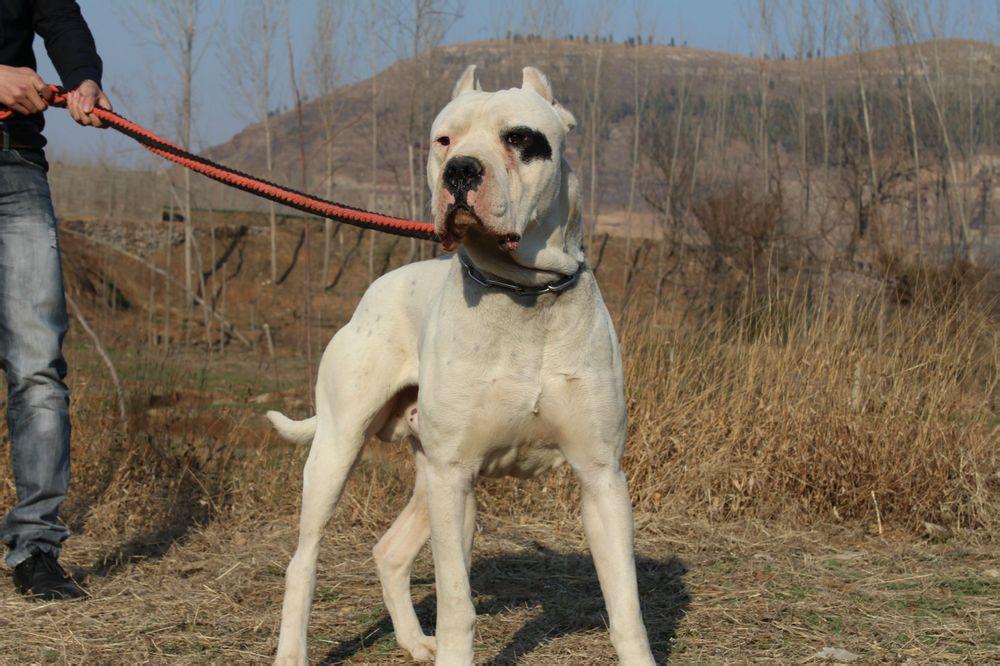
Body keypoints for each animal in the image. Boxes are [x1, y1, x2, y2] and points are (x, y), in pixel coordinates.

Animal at [270, 65, 652, 660]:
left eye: (519, 137)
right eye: (443, 140)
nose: (461, 170)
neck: (524, 296)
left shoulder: (602, 478)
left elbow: (626, 606)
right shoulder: (456, 478)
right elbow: (456, 602)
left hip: (428, 475)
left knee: (389, 550)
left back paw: (413, 642)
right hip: (339, 452)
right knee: (302, 561)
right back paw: (293, 651)